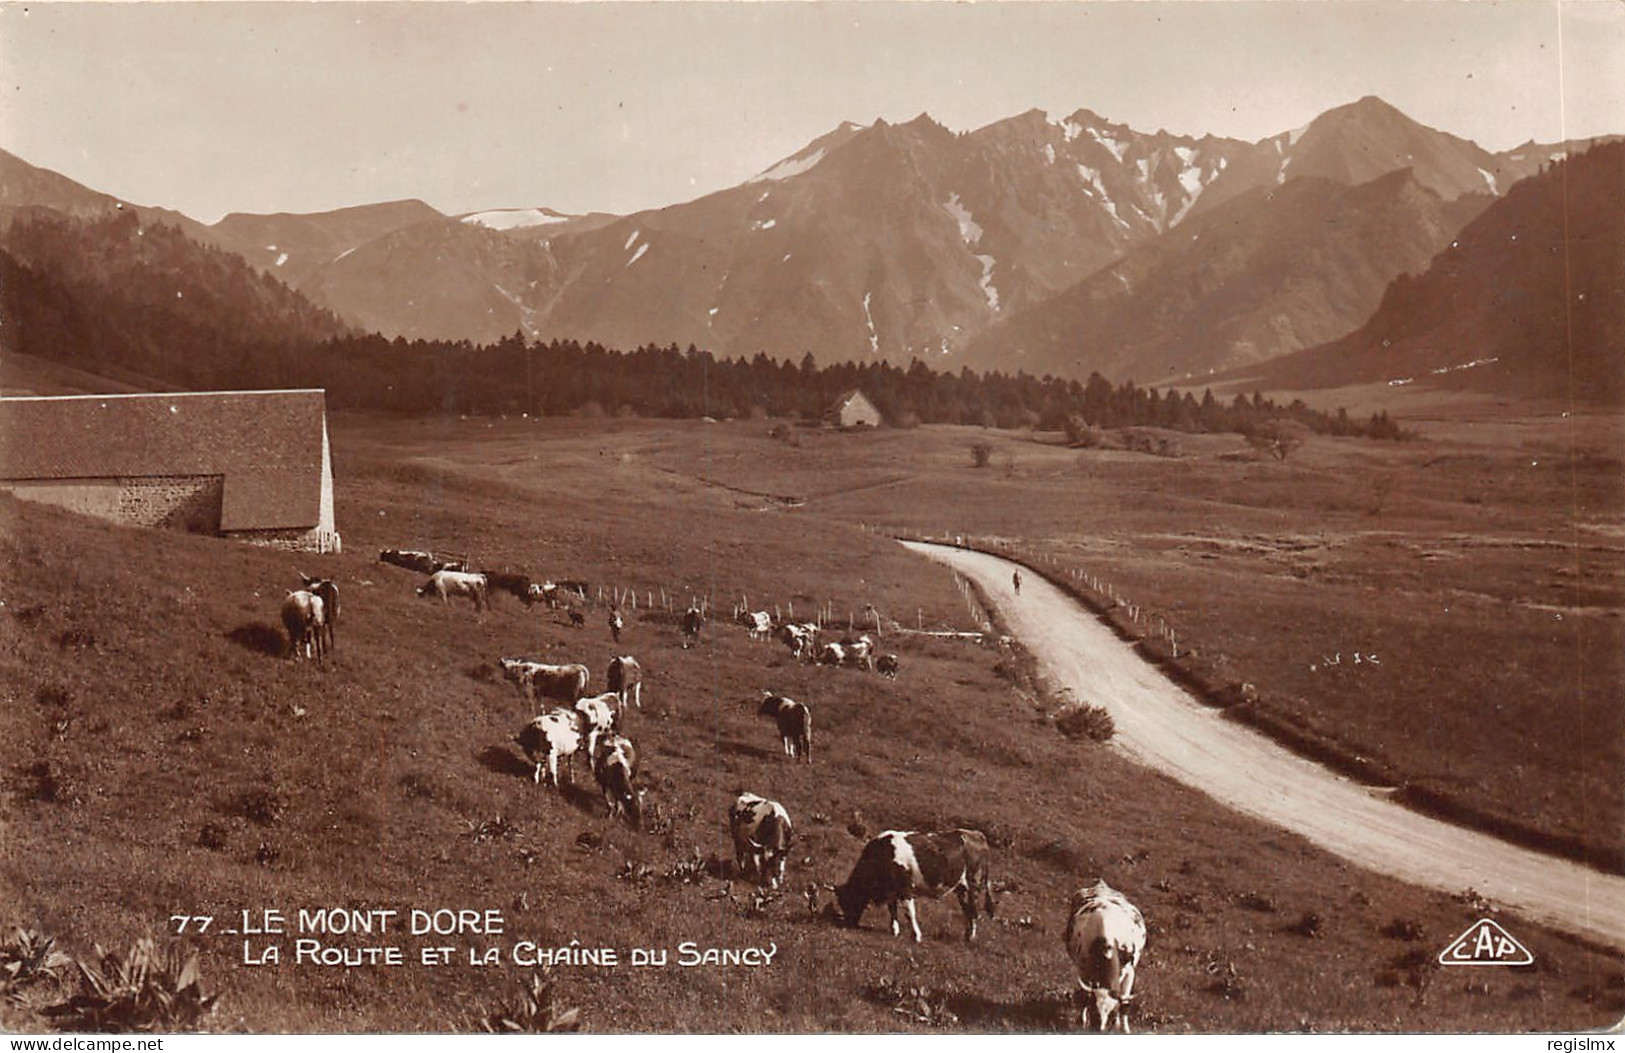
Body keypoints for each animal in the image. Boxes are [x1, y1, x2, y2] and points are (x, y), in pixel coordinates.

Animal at [832, 832, 994, 942]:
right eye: (841, 902)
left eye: (851, 899)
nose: (849, 924)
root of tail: (975, 834)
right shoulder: (892, 890)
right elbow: (892, 910)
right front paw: (894, 930)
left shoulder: (905, 888)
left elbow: (910, 913)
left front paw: (916, 935)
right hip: (961, 889)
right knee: (967, 910)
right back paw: (966, 935)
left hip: (973, 884)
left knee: (973, 910)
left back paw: (970, 937)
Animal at [1059, 877, 1150, 1033]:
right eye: (1094, 1008)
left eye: (1110, 1010)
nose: (1099, 1028)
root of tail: (1101, 885)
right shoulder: (1084, 971)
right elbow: (1085, 996)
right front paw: (1083, 1021)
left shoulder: (1130, 972)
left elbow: (1124, 1003)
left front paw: (1123, 1028)